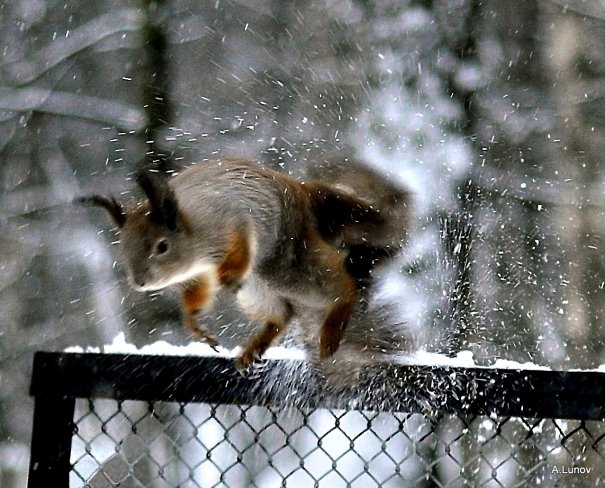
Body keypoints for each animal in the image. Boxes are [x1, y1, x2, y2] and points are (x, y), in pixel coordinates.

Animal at [79, 158, 410, 368]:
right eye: (123, 248)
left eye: (162, 246)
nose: (140, 282)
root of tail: (301, 191)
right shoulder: (198, 275)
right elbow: (197, 295)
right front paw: (195, 324)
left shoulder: (233, 220)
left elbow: (241, 245)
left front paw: (229, 273)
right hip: (256, 289)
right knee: (283, 315)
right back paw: (255, 346)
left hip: (284, 262)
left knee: (342, 287)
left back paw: (333, 323)